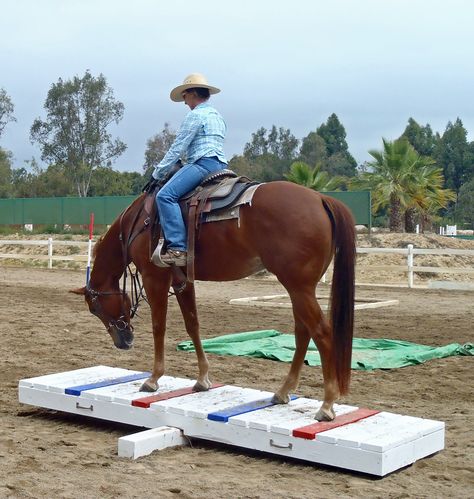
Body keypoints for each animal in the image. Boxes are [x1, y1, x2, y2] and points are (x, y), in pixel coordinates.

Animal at [71, 181, 356, 422]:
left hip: (299, 287)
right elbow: (193, 325)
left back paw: (327, 405)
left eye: (95, 308)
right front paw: (202, 379)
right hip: (299, 288)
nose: (123, 342)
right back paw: (283, 392)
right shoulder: (182, 281)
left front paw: (153, 379)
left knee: (321, 332)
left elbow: (158, 327)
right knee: (302, 332)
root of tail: (320, 198)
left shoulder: (155, 278)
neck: (138, 221)